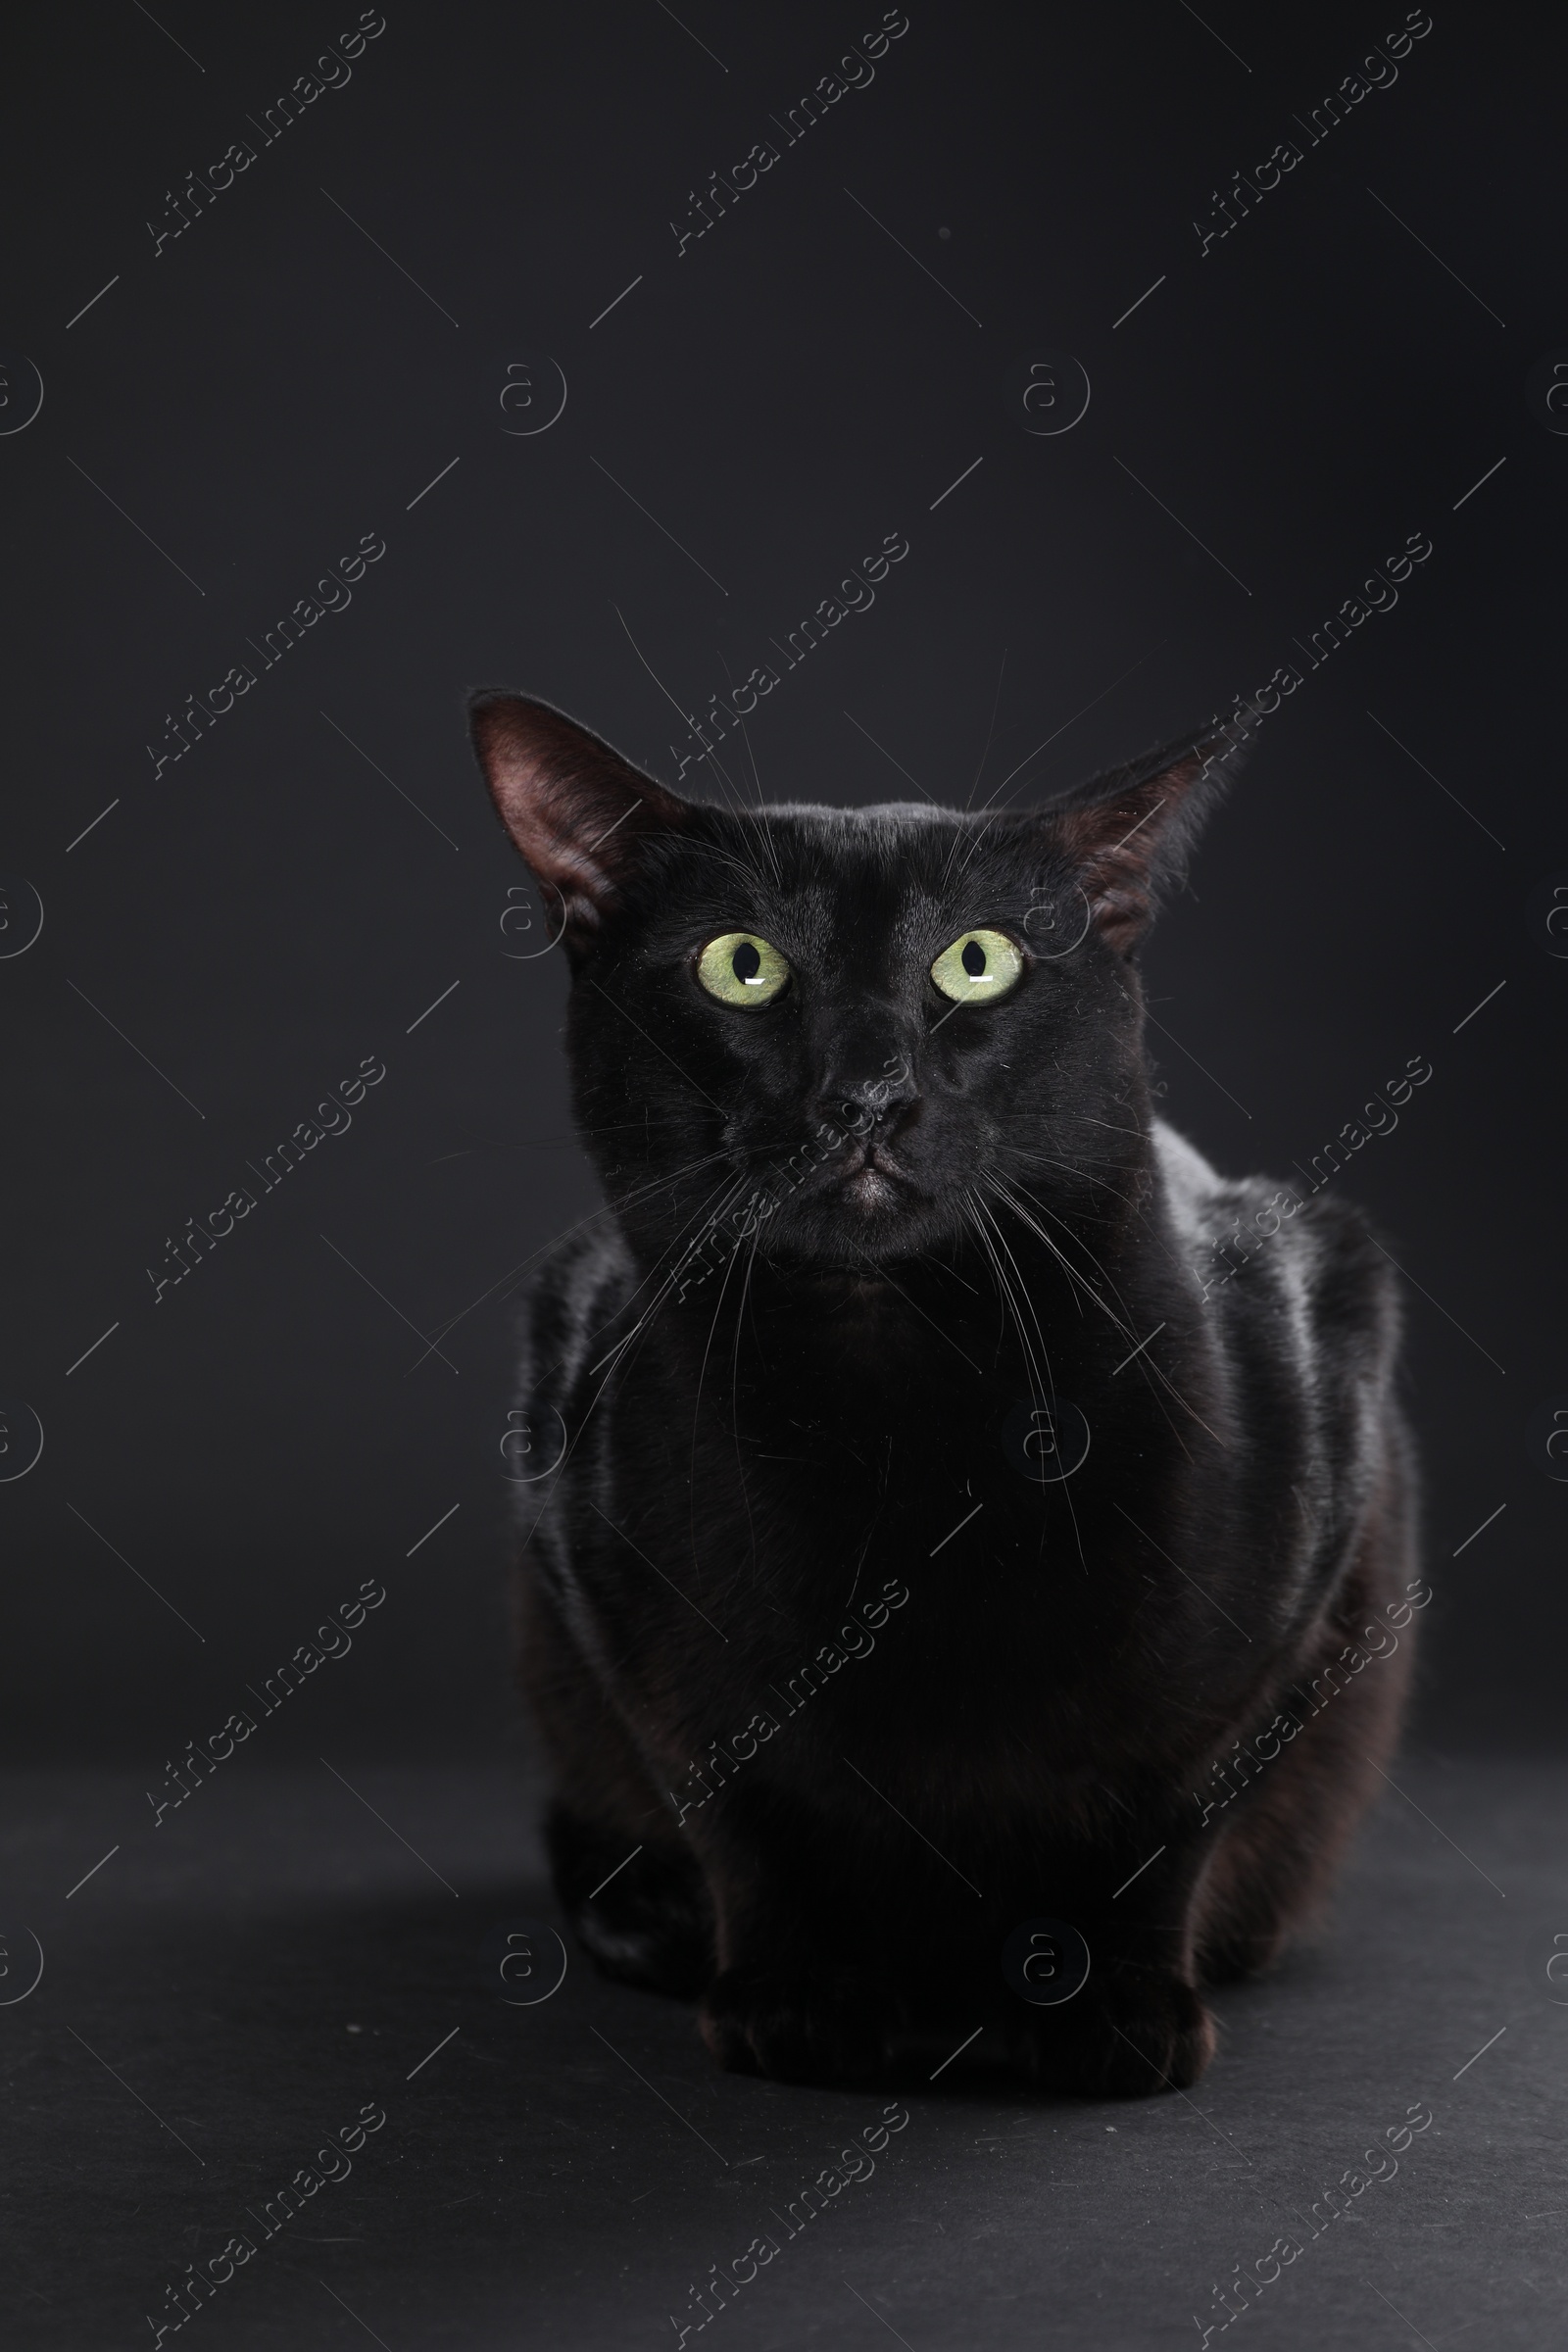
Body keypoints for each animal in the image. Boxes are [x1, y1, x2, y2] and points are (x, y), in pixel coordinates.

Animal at [472, 691, 1419, 2097]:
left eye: (979, 964)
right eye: (741, 965)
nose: (867, 1090)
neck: (896, 1395)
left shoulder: (1319, 1492)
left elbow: (1170, 1802)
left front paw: (1103, 2013)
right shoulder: (602, 1572)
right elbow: (737, 1790)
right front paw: (801, 2000)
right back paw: (652, 1918)